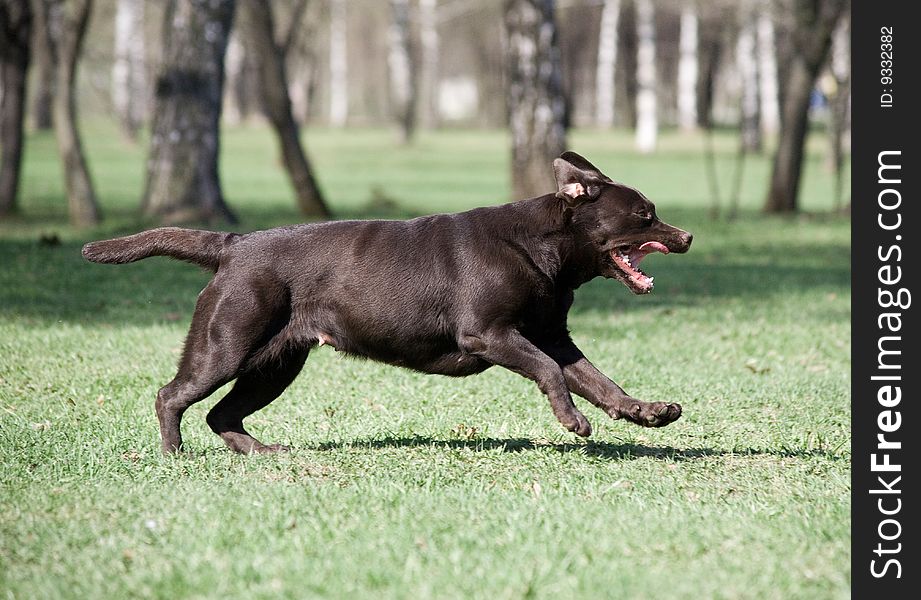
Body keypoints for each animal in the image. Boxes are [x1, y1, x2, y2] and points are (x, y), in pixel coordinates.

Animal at [84, 152, 688, 452]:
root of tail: (233, 245)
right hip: (225, 344)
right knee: (171, 396)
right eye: (644, 215)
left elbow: (598, 379)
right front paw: (572, 421)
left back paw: (264, 453)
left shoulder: (551, 335)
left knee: (221, 413)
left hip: (275, 364)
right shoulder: (491, 334)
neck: (542, 249)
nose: (685, 236)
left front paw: (648, 412)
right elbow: (551, 373)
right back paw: (174, 455)